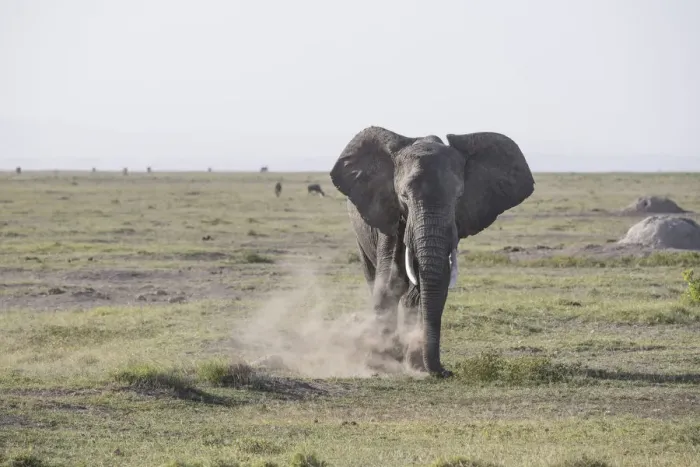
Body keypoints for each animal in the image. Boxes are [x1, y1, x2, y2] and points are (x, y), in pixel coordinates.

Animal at [330, 126, 535, 377]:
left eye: (458, 197)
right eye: (404, 197)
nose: (446, 372)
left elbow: (431, 283)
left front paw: (417, 367)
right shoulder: (388, 211)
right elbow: (389, 282)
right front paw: (381, 363)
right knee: (373, 277)